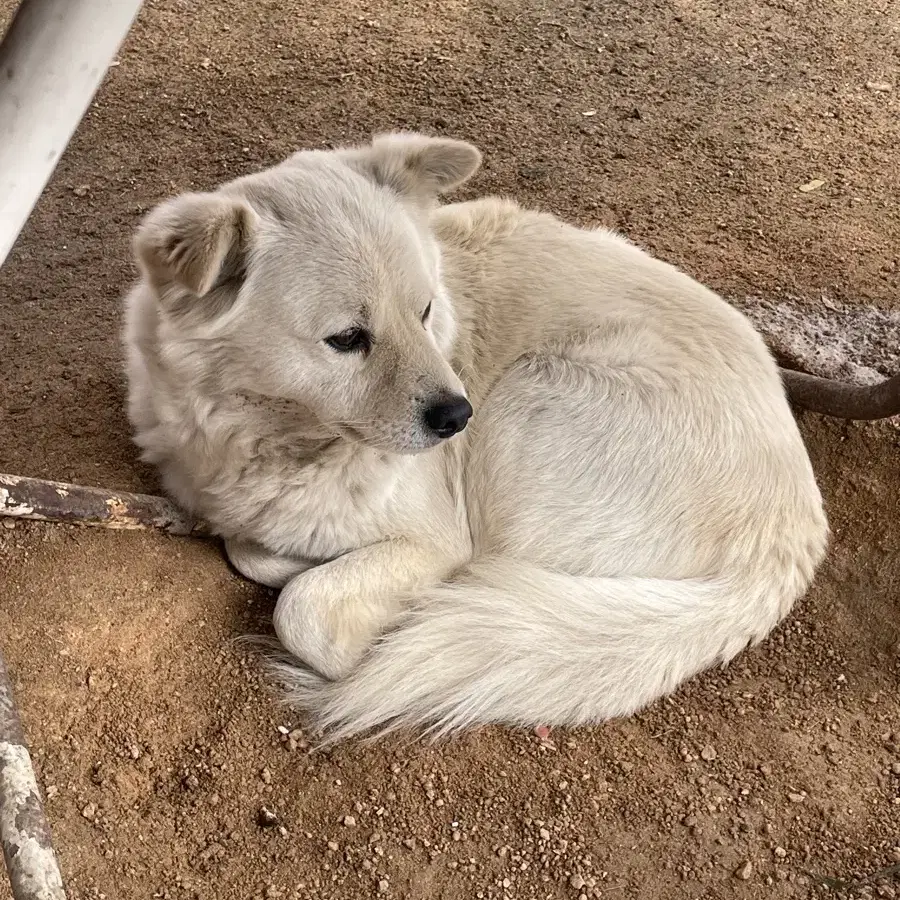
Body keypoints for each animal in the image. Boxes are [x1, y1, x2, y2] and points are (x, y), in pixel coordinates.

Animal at [121, 134, 828, 740]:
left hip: (528, 395)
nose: (457, 416)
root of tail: (786, 540)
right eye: (347, 338)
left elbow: (302, 608)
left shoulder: (437, 537)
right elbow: (249, 548)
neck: (271, 436)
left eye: (425, 311)